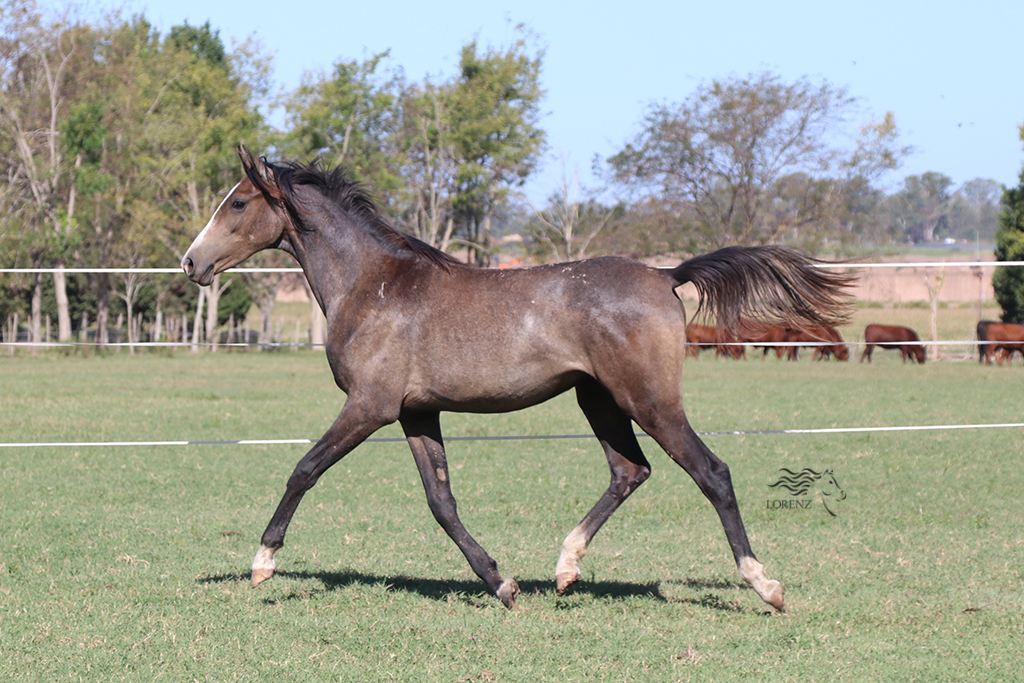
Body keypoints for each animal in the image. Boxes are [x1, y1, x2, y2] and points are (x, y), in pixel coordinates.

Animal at [180, 146, 853, 612]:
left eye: (237, 202)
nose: (191, 263)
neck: (374, 284)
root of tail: (666, 275)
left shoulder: (370, 406)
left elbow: (304, 468)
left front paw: (263, 563)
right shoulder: (416, 412)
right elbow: (442, 502)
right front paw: (502, 584)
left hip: (649, 400)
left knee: (711, 472)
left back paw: (765, 586)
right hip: (598, 399)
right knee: (629, 471)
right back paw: (565, 569)